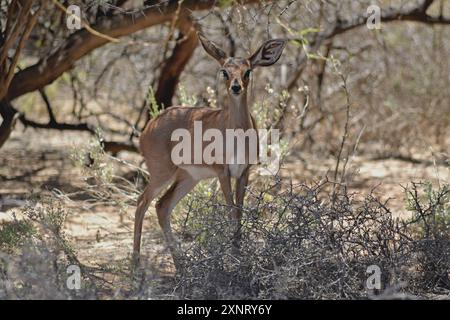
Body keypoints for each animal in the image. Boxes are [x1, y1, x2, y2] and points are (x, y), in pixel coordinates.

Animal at [133, 34, 284, 268]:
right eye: (225, 71)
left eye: (247, 71)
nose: (236, 87)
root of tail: (148, 127)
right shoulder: (223, 172)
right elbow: (231, 212)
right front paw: (235, 260)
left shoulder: (244, 172)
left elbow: (239, 214)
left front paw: (239, 256)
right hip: (161, 173)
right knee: (142, 203)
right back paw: (137, 267)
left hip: (188, 177)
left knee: (162, 206)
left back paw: (181, 267)